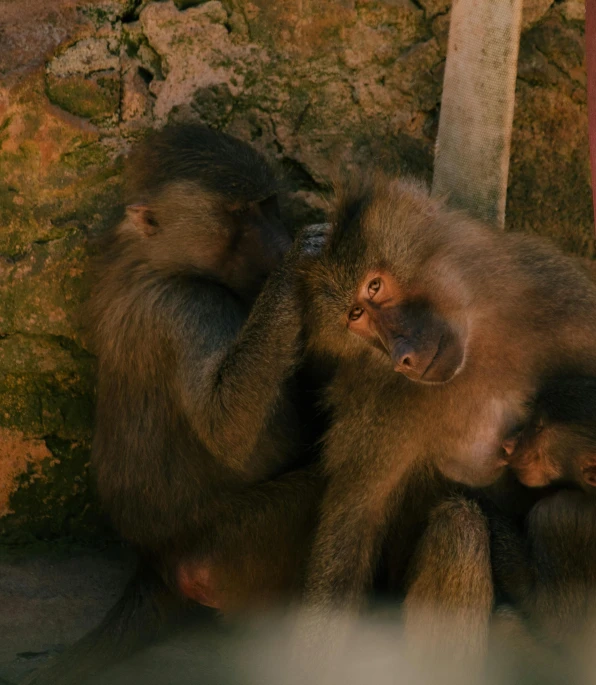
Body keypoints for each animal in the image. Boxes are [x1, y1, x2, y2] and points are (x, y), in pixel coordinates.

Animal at [298, 172, 596, 652]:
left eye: (374, 287)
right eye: (356, 316)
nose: (400, 356)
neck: (476, 342)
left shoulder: (560, 296)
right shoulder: (380, 410)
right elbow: (351, 530)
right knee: (459, 527)